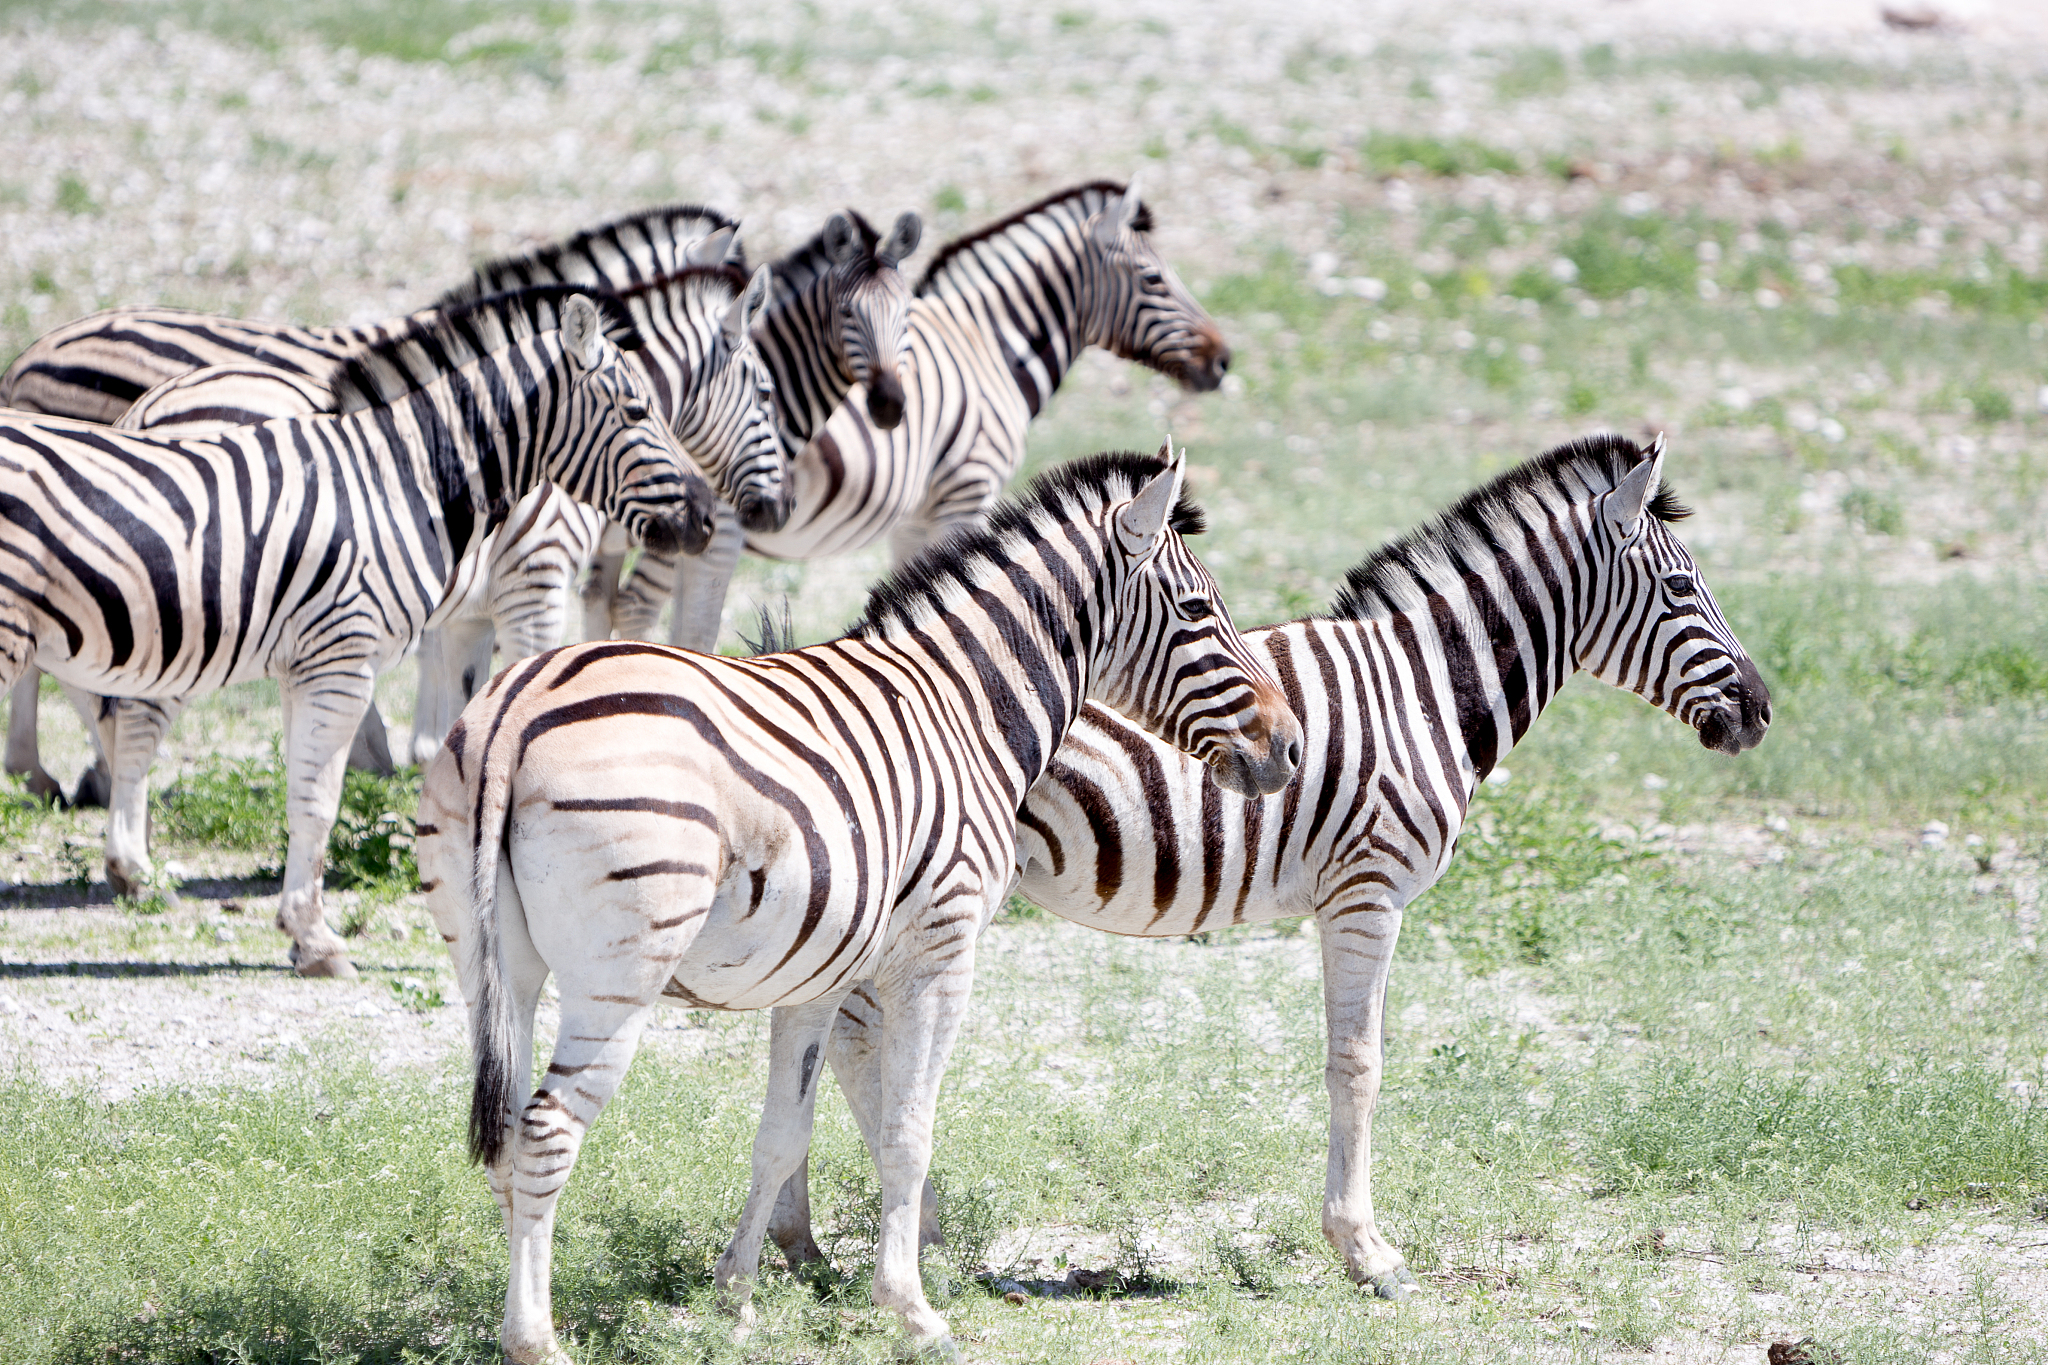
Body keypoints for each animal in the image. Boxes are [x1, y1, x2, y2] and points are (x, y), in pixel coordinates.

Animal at [0, 287, 712, 979]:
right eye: (638, 410)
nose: (705, 519)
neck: (401, 483)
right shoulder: (348, 655)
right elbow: (322, 799)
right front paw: (315, 939)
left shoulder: (307, 662)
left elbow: (312, 791)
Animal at [412, 447, 1304, 1362]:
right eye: (1200, 609)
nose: (1291, 746)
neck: (966, 708)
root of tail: (516, 711)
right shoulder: (940, 953)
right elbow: (909, 1133)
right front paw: (910, 1307)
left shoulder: (816, 976)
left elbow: (782, 1134)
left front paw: (735, 1296)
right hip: (618, 972)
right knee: (547, 1131)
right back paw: (534, 1339)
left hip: (494, 967)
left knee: (506, 1136)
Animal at [753, 433, 1774, 1299]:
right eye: (1681, 587)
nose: (1762, 711)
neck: (1424, 689)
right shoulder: (1368, 890)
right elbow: (1358, 1063)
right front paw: (1368, 1252)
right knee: (852, 1030)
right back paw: (889, 1235)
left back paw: (809, 1243)